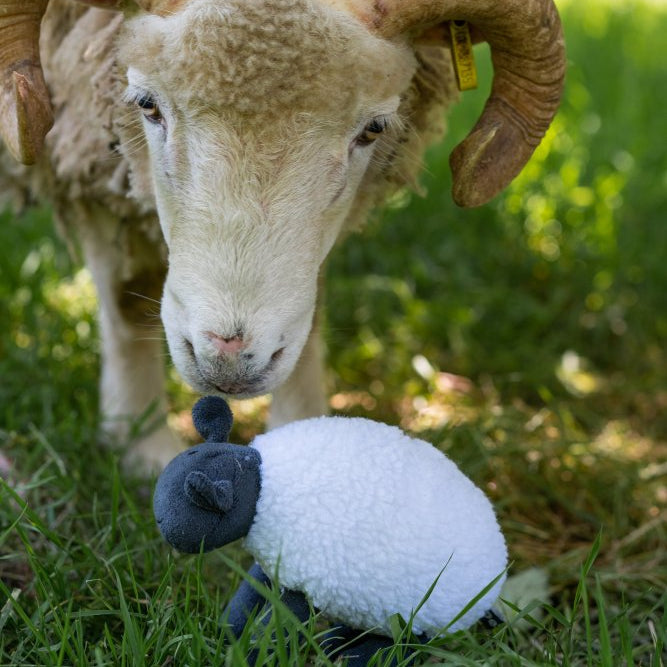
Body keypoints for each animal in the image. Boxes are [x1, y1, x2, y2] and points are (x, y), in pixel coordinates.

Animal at [0, 0, 566, 469]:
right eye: (146, 104)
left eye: (374, 129)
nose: (229, 358)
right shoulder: (82, 159)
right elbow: (125, 298)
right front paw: (141, 446)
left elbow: (309, 318)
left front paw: (304, 428)